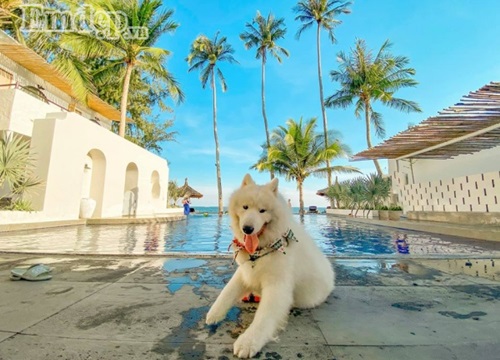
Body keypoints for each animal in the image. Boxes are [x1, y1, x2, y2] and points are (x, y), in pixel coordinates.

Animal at [207, 174, 336, 358]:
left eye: (262, 211)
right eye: (245, 207)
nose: (247, 229)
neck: (262, 249)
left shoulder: (277, 286)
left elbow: (264, 318)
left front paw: (248, 342)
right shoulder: (244, 272)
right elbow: (227, 292)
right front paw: (214, 314)